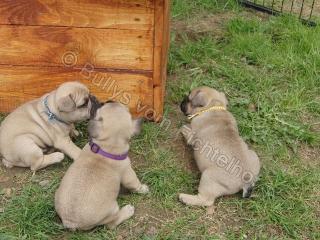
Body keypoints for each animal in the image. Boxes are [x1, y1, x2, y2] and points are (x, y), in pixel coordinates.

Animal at [55, 101, 149, 231]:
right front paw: (143, 189)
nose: (110, 101)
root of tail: (71, 222)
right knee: (112, 224)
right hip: (112, 210)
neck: (105, 147)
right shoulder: (127, 172)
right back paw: (127, 211)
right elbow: (135, 184)